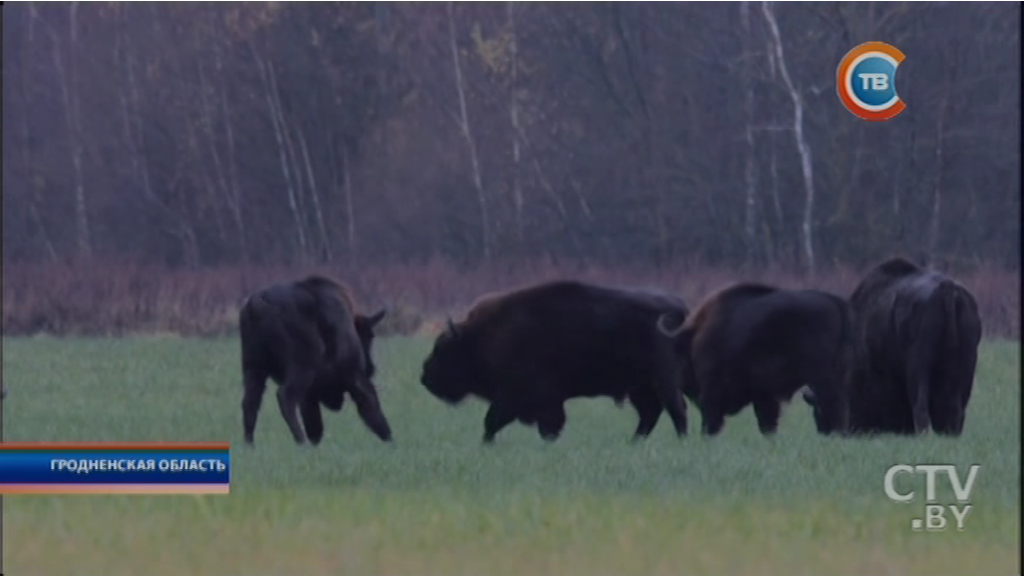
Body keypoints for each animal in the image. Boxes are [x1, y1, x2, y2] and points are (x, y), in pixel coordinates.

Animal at [237, 276, 393, 446]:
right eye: (370, 335)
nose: (371, 367)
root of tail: (257, 304)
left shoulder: (309, 395)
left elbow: (314, 426)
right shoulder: (355, 376)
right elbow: (372, 408)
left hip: (253, 367)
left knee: (250, 403)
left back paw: (249, 445)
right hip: (302, 368)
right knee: (285, 396)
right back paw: (301, 441)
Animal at [415, 280, 688, 440]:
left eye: (443, 349)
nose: (425, 377)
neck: (482, 335)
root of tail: (681, 308)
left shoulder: (521, 396)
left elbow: (494, 421)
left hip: (662, 380)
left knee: (676, 409)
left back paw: (680, 440)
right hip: (638, 387)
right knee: (651, 412)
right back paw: (635, 442)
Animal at [651, 280, 851, 434]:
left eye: (677, 353)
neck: (694, 336)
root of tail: (836, 303)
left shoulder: (711, 393)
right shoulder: (764, 396)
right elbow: (767, 424)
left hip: (823, 379)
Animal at [802, 256, 978, 434]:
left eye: (819, 407)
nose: (830, 431)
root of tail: (947, 289)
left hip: (918, 368)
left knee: (920, 408)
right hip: (965, 368)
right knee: (956, 410)